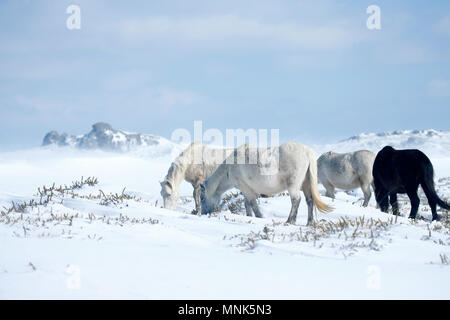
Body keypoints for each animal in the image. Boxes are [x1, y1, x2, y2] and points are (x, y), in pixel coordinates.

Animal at [200, 142, 330, 225]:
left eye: (202, 198)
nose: (204, 213)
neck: (229, 168)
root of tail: (308, 152)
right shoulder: (247, 188)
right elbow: (247, 204)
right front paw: (249, 216)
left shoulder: (244, 186)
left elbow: (252, 203)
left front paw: (259, 217)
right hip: (306, 182)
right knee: (310, 200)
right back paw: (309, 222)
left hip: (293, 184)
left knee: (296, 200)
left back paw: (290, 221)